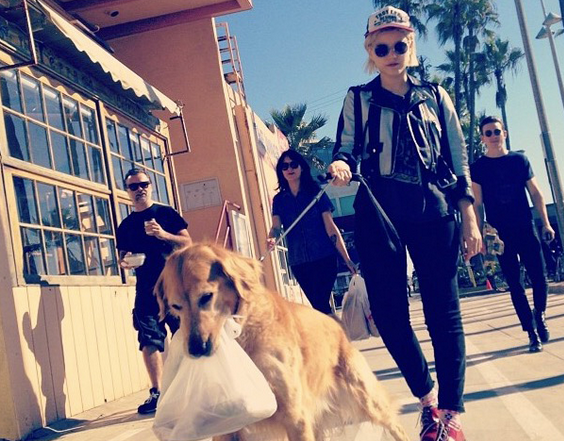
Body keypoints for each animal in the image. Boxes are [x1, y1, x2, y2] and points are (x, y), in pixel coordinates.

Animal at [155, 243, 409, 441]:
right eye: (175, 306)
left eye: (206, 297)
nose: (196, 349)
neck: (242, 334)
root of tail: (336, 326)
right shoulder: (228, 425)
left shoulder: (295, 416)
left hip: (366, 398)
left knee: (395, 426)